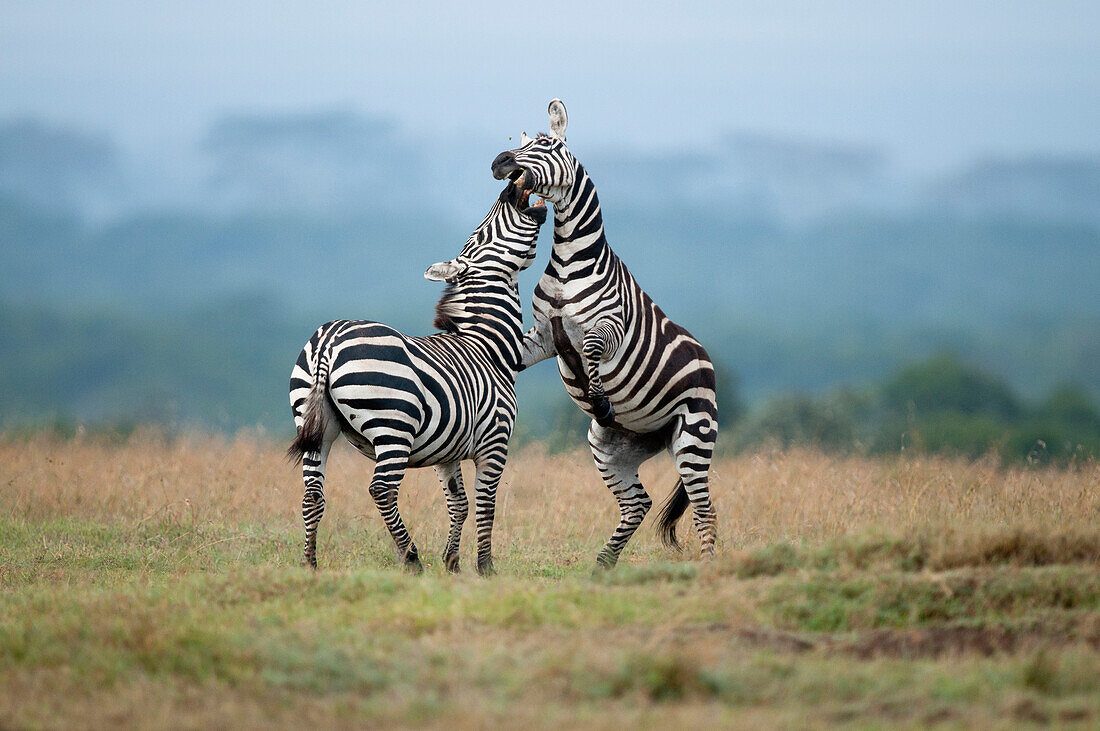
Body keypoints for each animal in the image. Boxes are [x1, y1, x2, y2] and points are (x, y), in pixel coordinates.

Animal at [286, 181, 547, 571]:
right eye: (482, 234)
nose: (508, 188)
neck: (488, 346)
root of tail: (330, 340)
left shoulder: (448, 451)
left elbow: (459, 504)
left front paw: (452, 562)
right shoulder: (495, 442)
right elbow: (486, 504)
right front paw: (485, 567)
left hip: (315, 424)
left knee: (312, 495)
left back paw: (309, 563)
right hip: (392, 427)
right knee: (381, 489)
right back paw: (410, 558)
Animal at [492, 98, 717, 562]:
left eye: (547, 145)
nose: (499, 161)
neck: (568, 260)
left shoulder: (610, 324)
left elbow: (594, 347)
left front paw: (597, 395)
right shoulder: (543, 338)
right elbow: (513, 352)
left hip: (694, 436)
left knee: (704, 508)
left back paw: (708, 566)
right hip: (610, 446)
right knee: (638, 504)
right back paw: (602, 564)